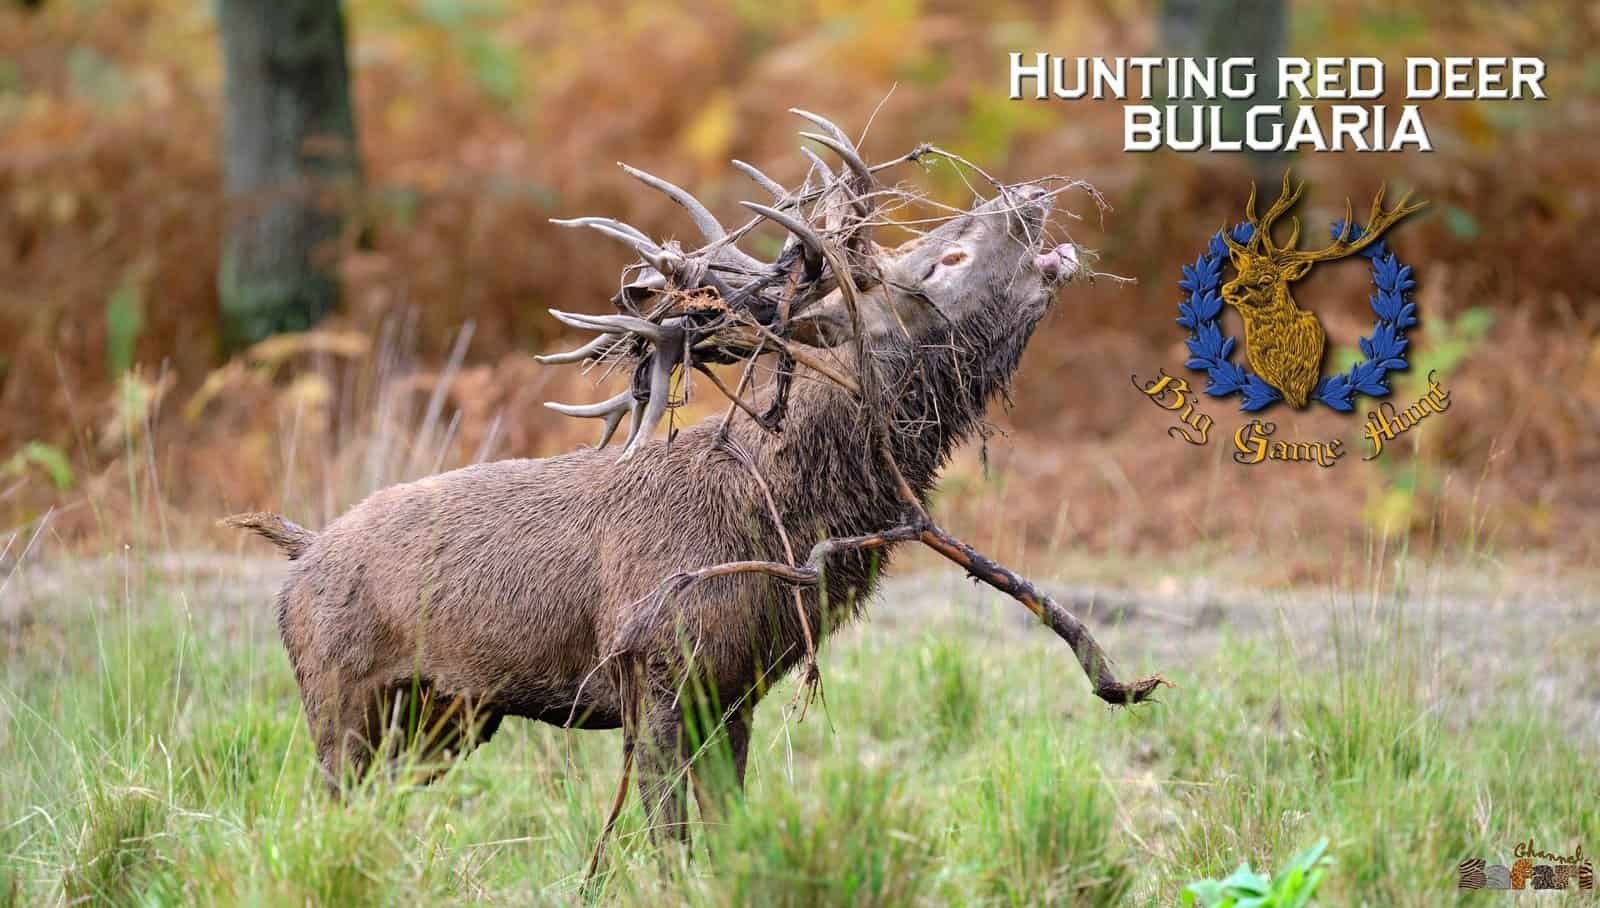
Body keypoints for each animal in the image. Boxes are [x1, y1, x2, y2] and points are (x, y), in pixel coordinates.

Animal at [225, 108, 1162, 869]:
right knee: (323, 808)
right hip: (339, 696)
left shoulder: (735, 687)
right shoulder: (658, 670)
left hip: (445, 719)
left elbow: (723, 827)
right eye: (941, 262)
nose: (1028, 196)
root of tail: (300, 555)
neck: (781, 517)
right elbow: (670, 838)